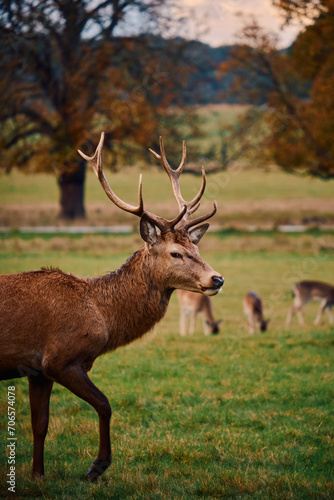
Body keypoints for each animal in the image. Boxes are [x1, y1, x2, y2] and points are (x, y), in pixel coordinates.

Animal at [0, 133, 224, 480]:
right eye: (175, 253)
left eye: (196, 248)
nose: (217, 278)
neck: (101, 314)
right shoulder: (61, 359)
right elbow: (105, 404)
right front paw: (97, 466)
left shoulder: (36, 370)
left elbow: (40, 425)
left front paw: (37, 475)